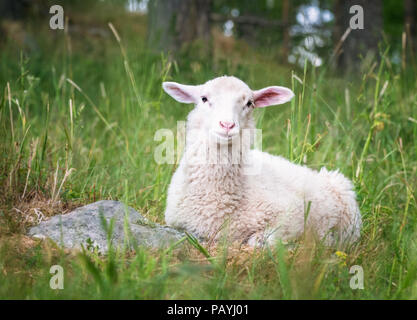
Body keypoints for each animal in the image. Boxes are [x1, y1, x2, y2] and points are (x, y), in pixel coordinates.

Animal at [161, 76, 360, 246]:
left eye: (249, 103)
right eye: (204, 98)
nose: (227, 125)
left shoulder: (291, 217)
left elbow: (263, 240)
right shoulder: (177, 221)